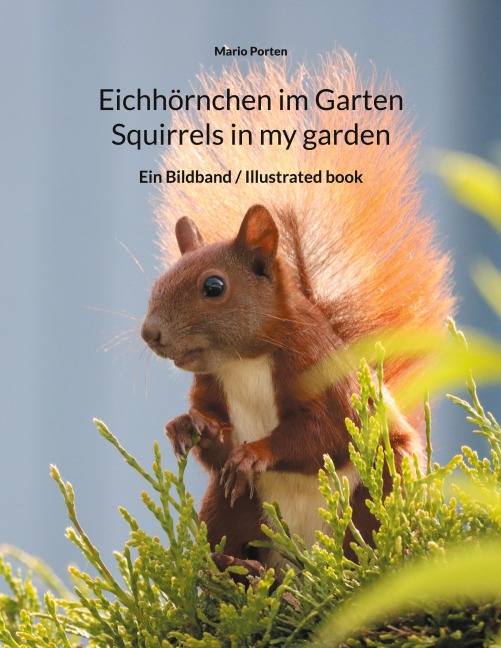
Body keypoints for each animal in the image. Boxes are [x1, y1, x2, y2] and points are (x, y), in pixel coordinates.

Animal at [141, 52, 454, 571]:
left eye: (214, 286)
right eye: (157, 282)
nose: (150, 334)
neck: (244, 362)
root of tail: (300, 560)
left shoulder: (326, 378)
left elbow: (321, 434)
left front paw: (257, 452)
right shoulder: (212, 389)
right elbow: (216, 449)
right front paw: (187, 425)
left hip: (383, 484)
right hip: (231, 506)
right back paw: (237, 571)